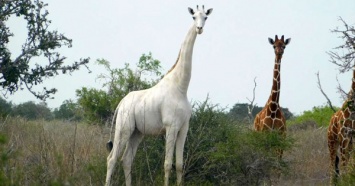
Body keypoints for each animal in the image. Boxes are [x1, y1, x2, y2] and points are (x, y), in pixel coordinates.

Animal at [104, 5, 213, 186]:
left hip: (137, 132)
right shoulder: (171, 126)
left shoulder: (184, 128)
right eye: (193, 17)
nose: (199, 29)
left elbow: (179, 165)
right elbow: (167, 164)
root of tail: (121, 103)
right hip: (124, 128)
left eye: (205, 17)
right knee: (112, 159)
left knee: (126, 159)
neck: (181, 87)